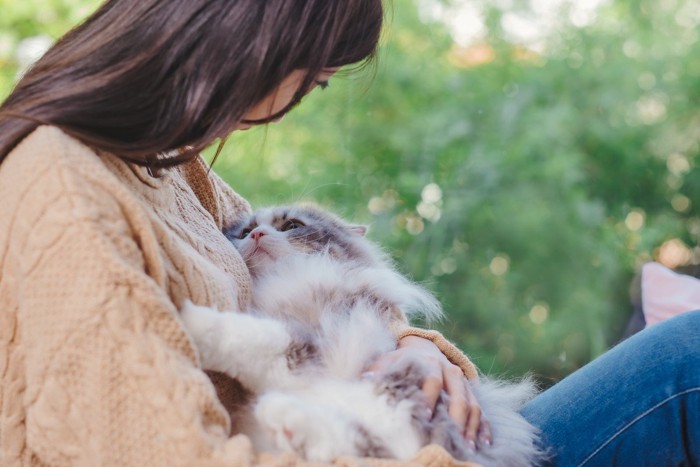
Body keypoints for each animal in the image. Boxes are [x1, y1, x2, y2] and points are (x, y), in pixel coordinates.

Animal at [179, 207, 540, 466]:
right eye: (243, 232)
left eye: (292, 225)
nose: (256, 233)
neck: (283, 279)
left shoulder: (308, 343)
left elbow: (247, 334)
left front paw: (188, 318)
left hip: (405, 388)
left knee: (384, 439)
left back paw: (284, 415)